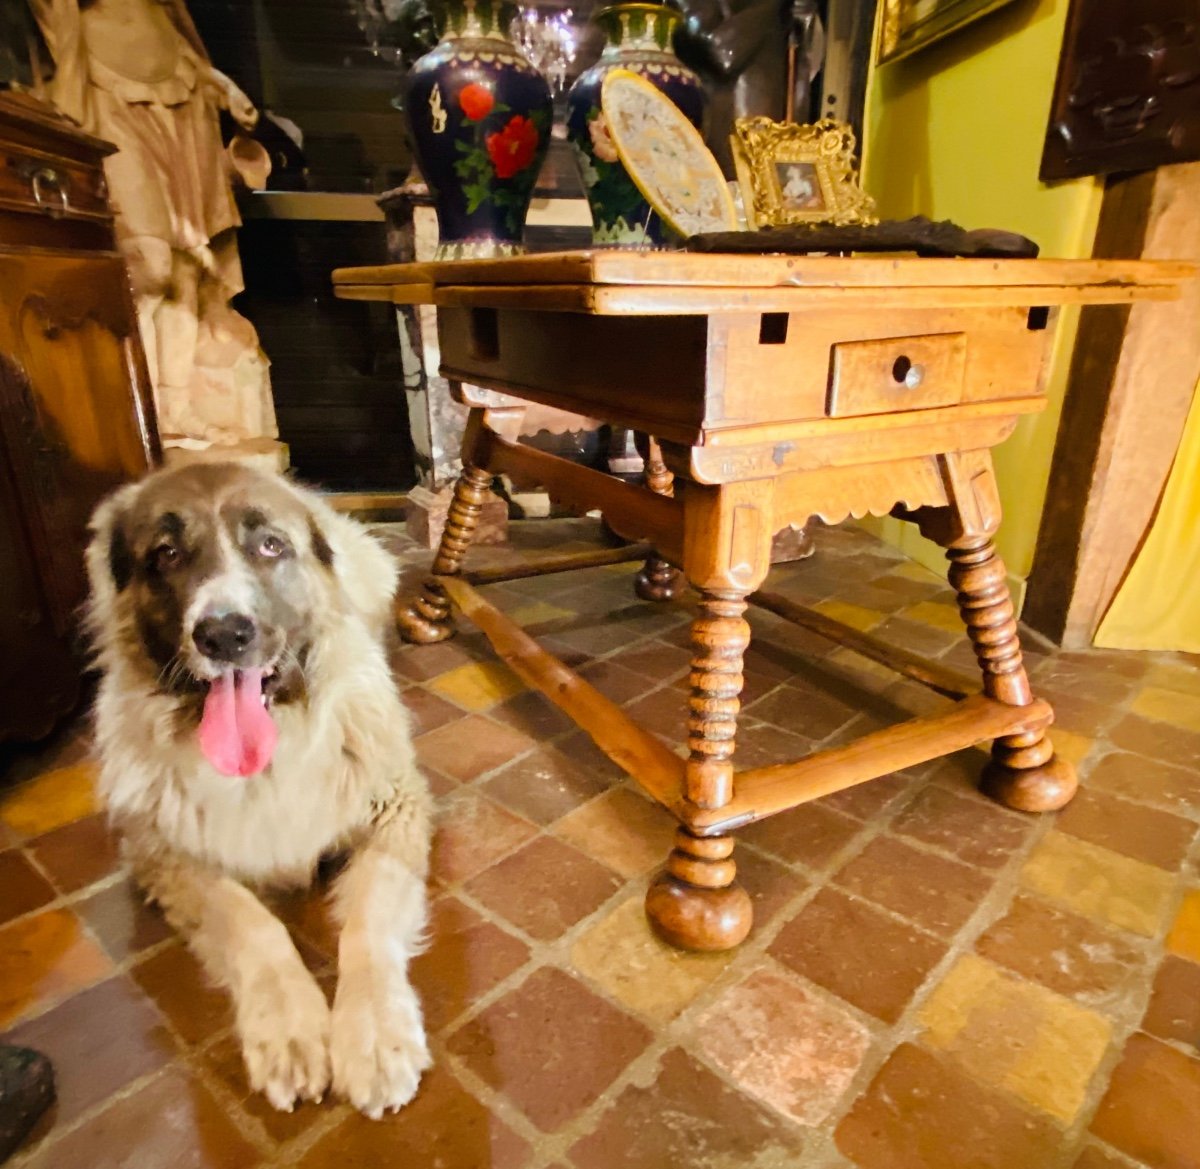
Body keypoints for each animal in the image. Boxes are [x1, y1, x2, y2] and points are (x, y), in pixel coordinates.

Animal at [85, 463, 432, 1123]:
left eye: (271, 546)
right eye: (165, 555)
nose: (224, 634)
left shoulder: (395, 810)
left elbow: (368, 922)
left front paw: (375, 1036)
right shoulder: (162, 850)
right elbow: (250, 921)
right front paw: (290, 1030)